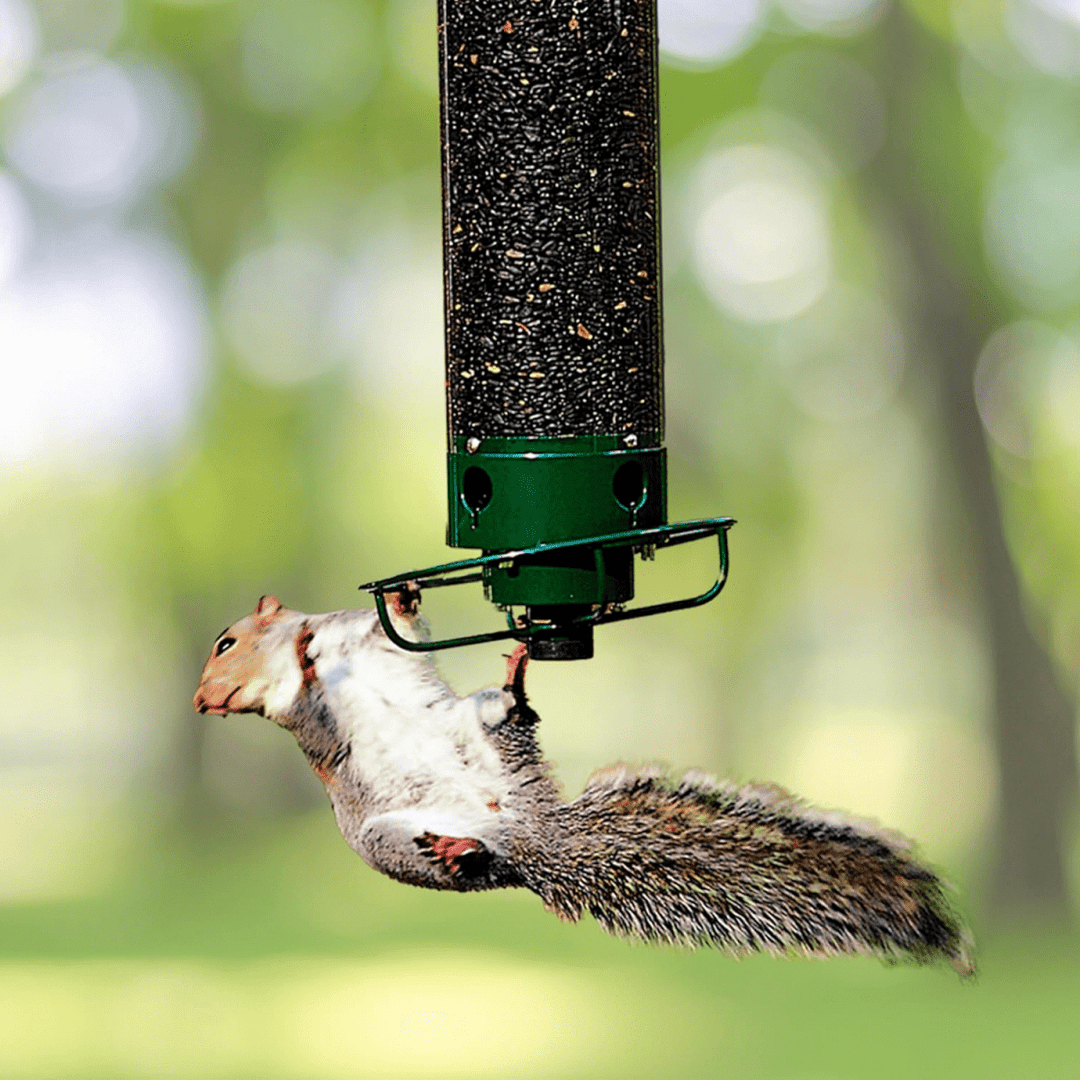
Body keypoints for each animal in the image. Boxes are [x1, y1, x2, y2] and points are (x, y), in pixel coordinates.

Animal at [194, 592, 974, 976]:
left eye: (226, 640)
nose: (204, 700)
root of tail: (528, 838)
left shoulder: (371, 633)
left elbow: (398, 621)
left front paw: (368, 611)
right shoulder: (304, 715)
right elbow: (305, 697)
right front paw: (301, 658)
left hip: (485, 732)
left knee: (511, 716)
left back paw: (514, 677)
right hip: (390, 840)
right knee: (471, 862)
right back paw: (455, 851)